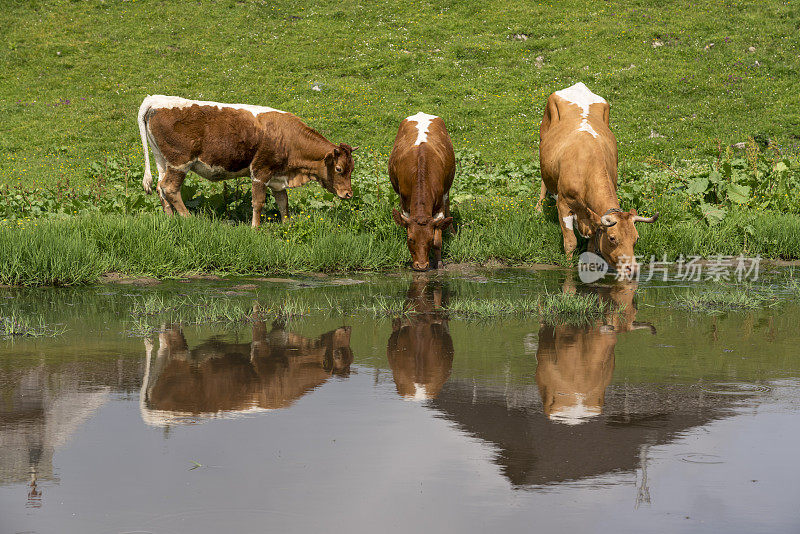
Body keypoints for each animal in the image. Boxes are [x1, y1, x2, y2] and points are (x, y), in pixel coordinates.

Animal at [138, 96, 356, 226]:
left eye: (352, 168)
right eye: (338, 168)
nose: (348, 194)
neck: (286, 137)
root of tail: (156, 99)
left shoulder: (278, 177)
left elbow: (283, 203)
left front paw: (287, 226)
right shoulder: (261, 172)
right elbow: (258, 202)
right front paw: (255, 228)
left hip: (163, 161)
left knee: (160, 186)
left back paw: (170, 218)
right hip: (180, 163)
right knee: (170, 188)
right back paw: (189, 219)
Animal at [390, 113, 454, 272]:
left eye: (429, 239)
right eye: (410, 239)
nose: (421, 265)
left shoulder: (439, 207)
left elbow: (438, 240)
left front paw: (439, 263)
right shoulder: (405, 205)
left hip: (447, 189)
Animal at [536, 85, 656, 276]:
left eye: (636, 239)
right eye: (612, 238)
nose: (632, 268)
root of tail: (578, 85)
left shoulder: (594, 218)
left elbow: (592, 247)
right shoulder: (563, 204)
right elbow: (570, 242)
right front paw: (568, 267)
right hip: (542, 136)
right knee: (543, 179)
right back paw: (538, 209)